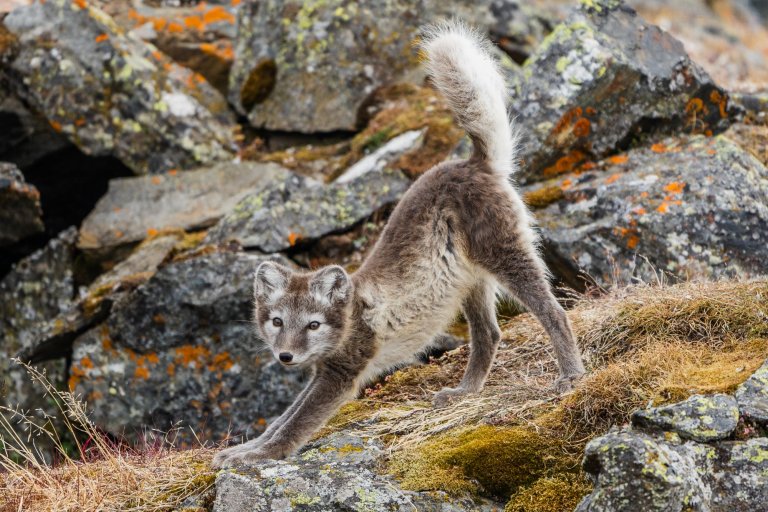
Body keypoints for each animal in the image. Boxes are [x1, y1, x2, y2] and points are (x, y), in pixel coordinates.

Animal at [213, 22, 584, 466]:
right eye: (277, 322)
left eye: (313, 324)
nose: (285, 356)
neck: (349, 317)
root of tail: (473, 162)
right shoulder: (322, 370)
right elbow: (281, 418)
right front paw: (245, 447)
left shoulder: (340, 375)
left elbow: (295, 424)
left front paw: (258, 457)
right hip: (471, 282)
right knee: (490, 335)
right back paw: (464, 392)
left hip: (505, 255)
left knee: (555, 312)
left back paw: (571, 376)